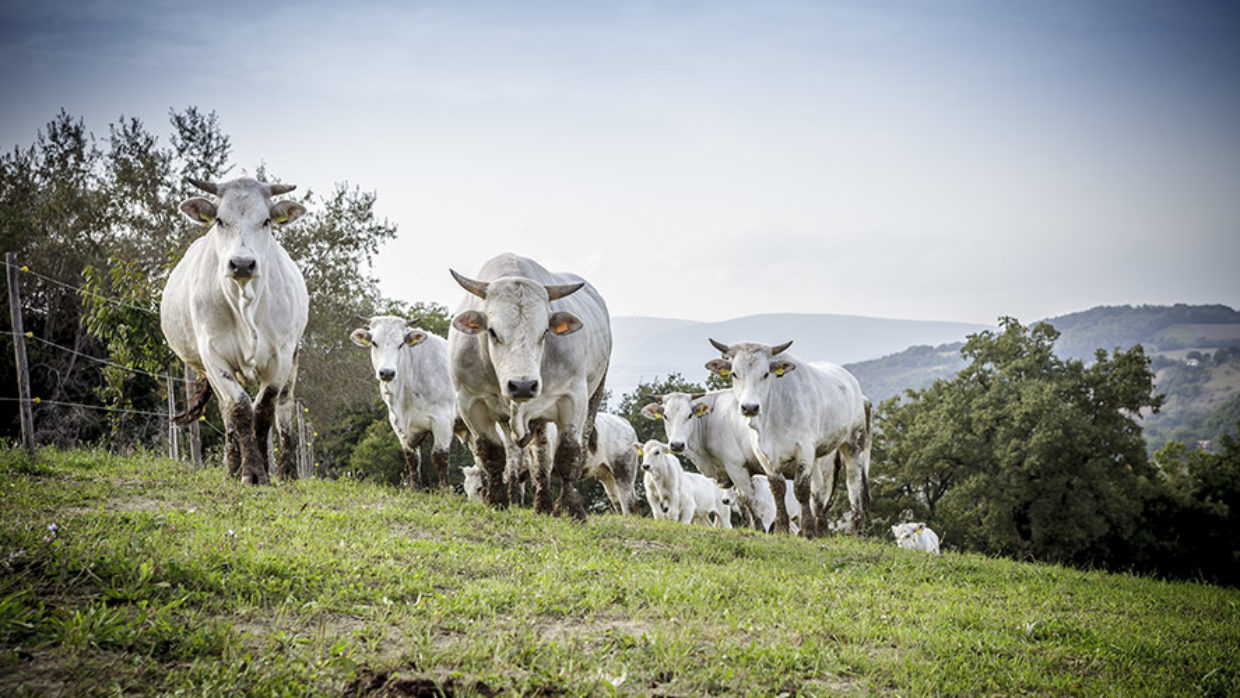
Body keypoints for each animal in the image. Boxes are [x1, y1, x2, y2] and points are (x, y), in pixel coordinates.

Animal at [161, 174, 308, 483]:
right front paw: (250, 471)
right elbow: (239, 409)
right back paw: (232, 467)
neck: (245, 302)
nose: (242, 264)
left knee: (284, 407)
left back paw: (288, 471)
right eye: (220, 220)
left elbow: (263, 410)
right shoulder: (213, 356)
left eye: (265, 221)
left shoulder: (281, 356)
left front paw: (265, 468)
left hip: (294, 359)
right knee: (226, 410)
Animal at [451, 254, 615, 520]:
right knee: (537, 456)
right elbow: (492, 454)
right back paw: (542, 503)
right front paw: (496, 501)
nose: (523, 385)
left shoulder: (572, 397)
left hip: (595, 394)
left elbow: (568, 453)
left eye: (545, 332)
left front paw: (571, 508)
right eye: (492, 332)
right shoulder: (470, 402)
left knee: (565, 451)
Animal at [709, 342, 872, 538]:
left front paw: (807, 530)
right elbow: (778, 489)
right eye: (734, 373)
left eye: (766, 374)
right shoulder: (764, 454)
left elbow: (801, 489)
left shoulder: (804, 450)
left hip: (854, 442)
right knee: (819, 490)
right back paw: (822, 529)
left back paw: (857, 530)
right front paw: (782, 528)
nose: (750, 407)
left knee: (853, 484)